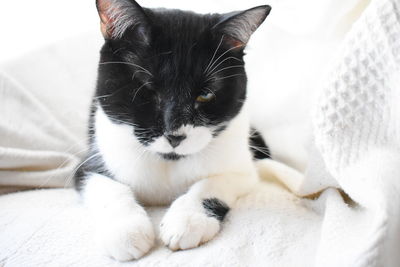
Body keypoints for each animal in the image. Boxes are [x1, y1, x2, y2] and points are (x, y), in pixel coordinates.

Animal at [74, 0, 272, 262]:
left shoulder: (243, 170)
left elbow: (212, 184)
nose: (175, 135)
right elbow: (107, 186)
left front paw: (188, 220)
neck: (168, 162)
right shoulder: (92, 160)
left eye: (205, 95)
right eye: (147, 90)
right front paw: (127, 231)